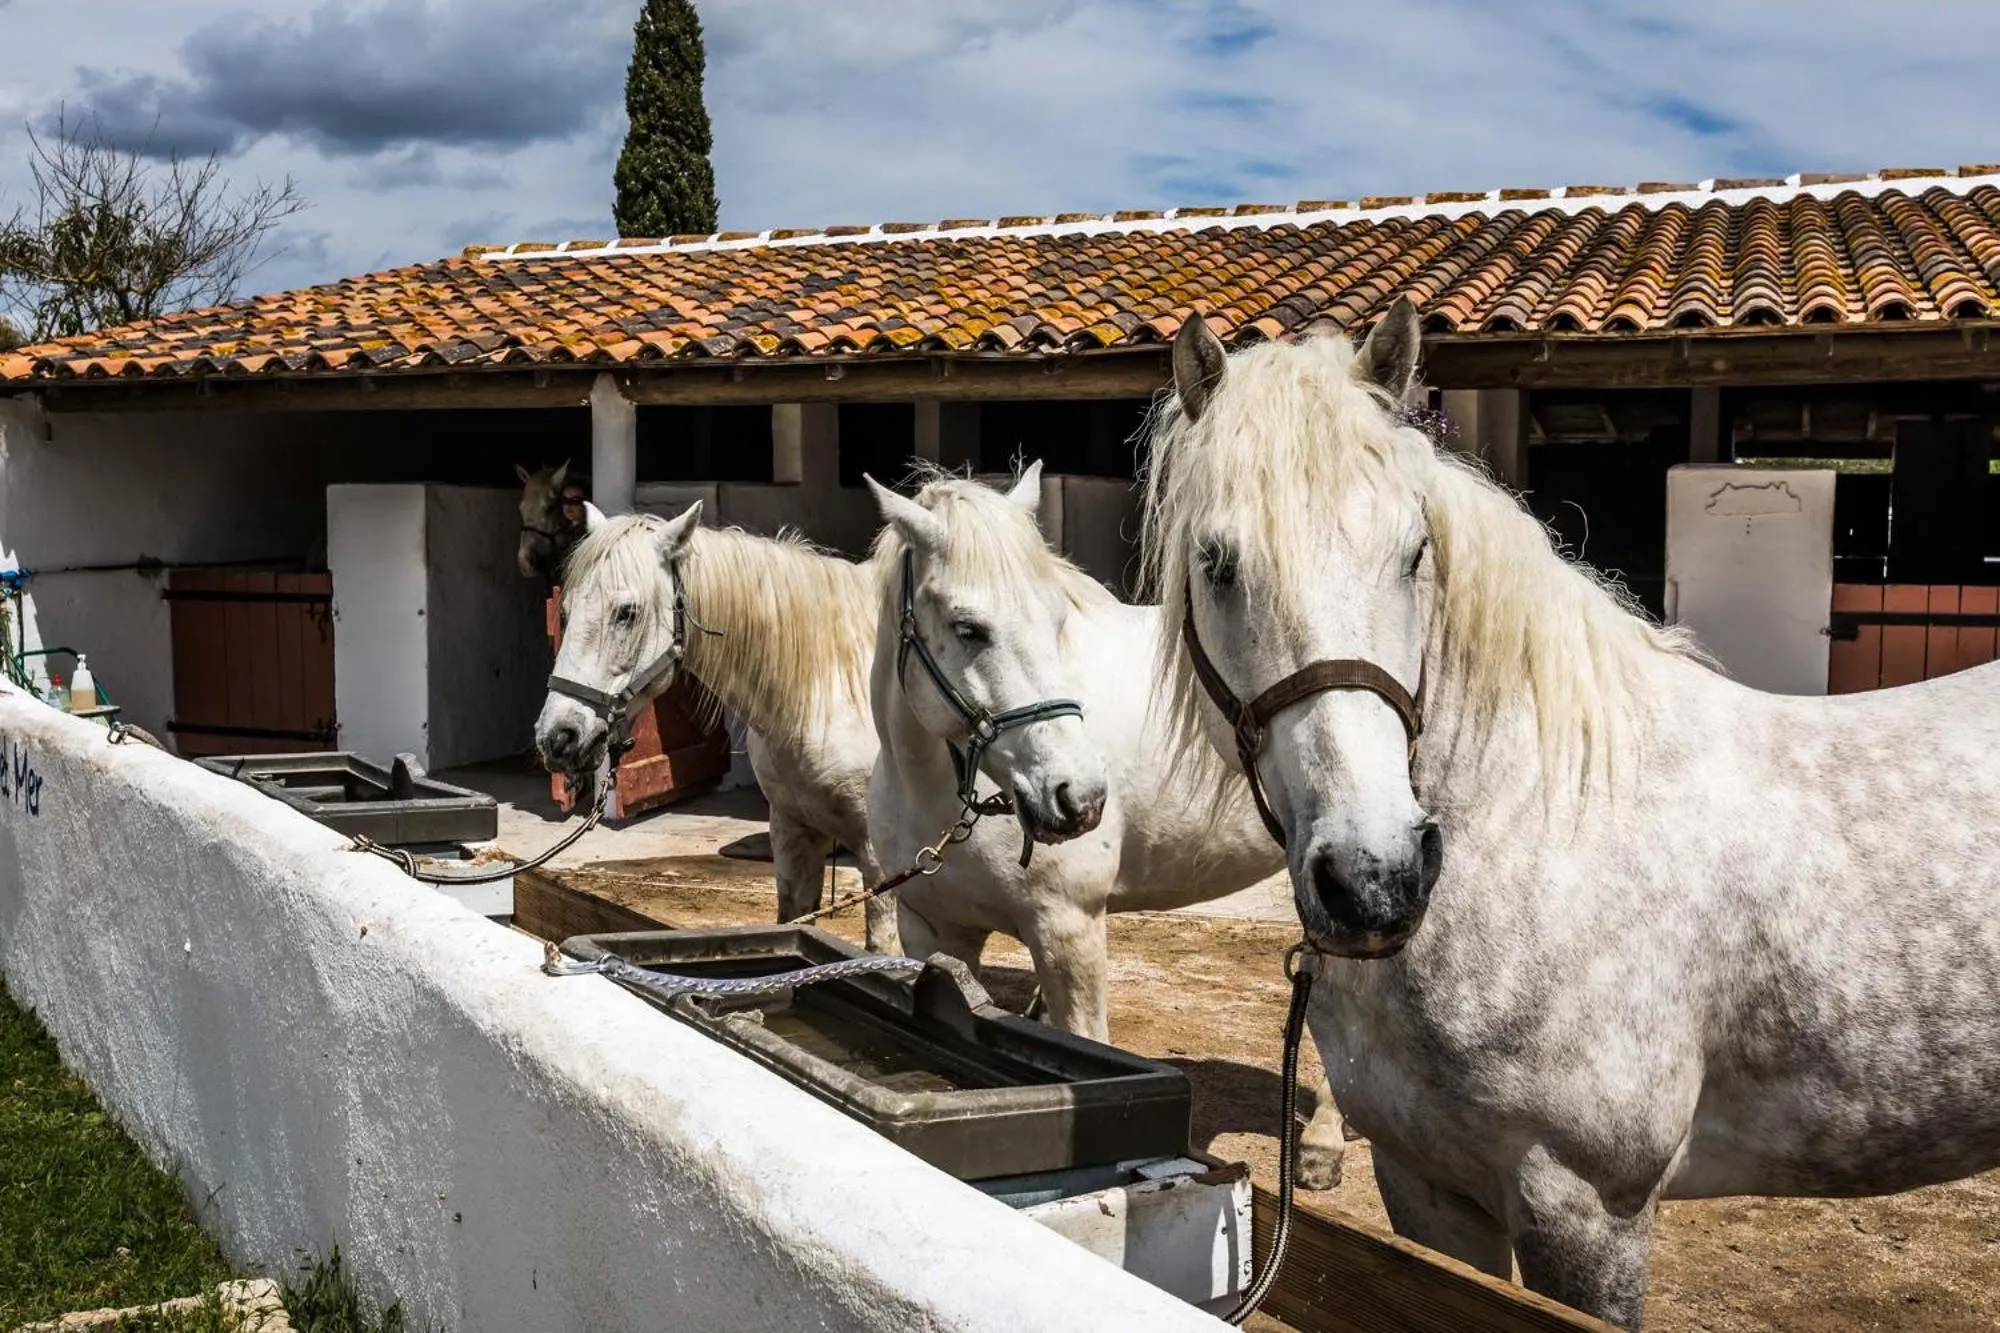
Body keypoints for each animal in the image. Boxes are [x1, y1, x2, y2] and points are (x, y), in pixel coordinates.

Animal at [531, 501, 900, 955]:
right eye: (565, 611)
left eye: (627, 612)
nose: (558, 738)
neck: (826, 688)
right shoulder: (792, 832)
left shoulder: (881, 860)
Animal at [862, 462, 1353, 1188]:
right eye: (968, 627)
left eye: (1057, 618)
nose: (1080, 797)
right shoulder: (932, 931)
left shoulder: (1069, 930)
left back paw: (1321, 1144)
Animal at [1137, 296, 2000, 1327]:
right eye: (1216, 561)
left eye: (1414, 553)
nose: (1376, 877)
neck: (1541, 835)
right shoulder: (1427, 1186)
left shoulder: (1588, 1211)